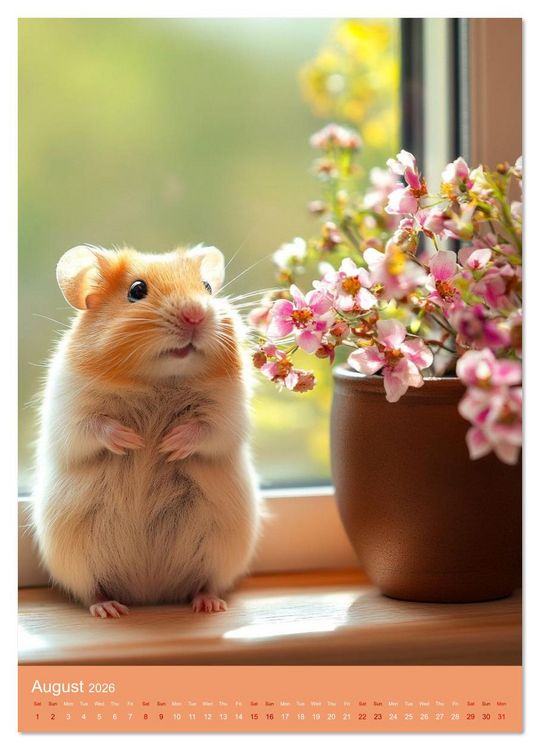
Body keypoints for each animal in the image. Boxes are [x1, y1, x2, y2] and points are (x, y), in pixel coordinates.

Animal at [32, 243, 262, 617]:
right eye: (137, 291)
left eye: (207, 288)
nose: (196, 315)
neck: (159, 380)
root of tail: (150, 594)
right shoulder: (70, 412)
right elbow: (95, 427)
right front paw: (134, 441)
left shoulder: (228, 413)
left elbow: (206, 429)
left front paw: (169, 444)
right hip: (75, 563)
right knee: (90, 591)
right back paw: (109, 609)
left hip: (222, 556)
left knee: (207, 584)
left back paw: (209, 604)